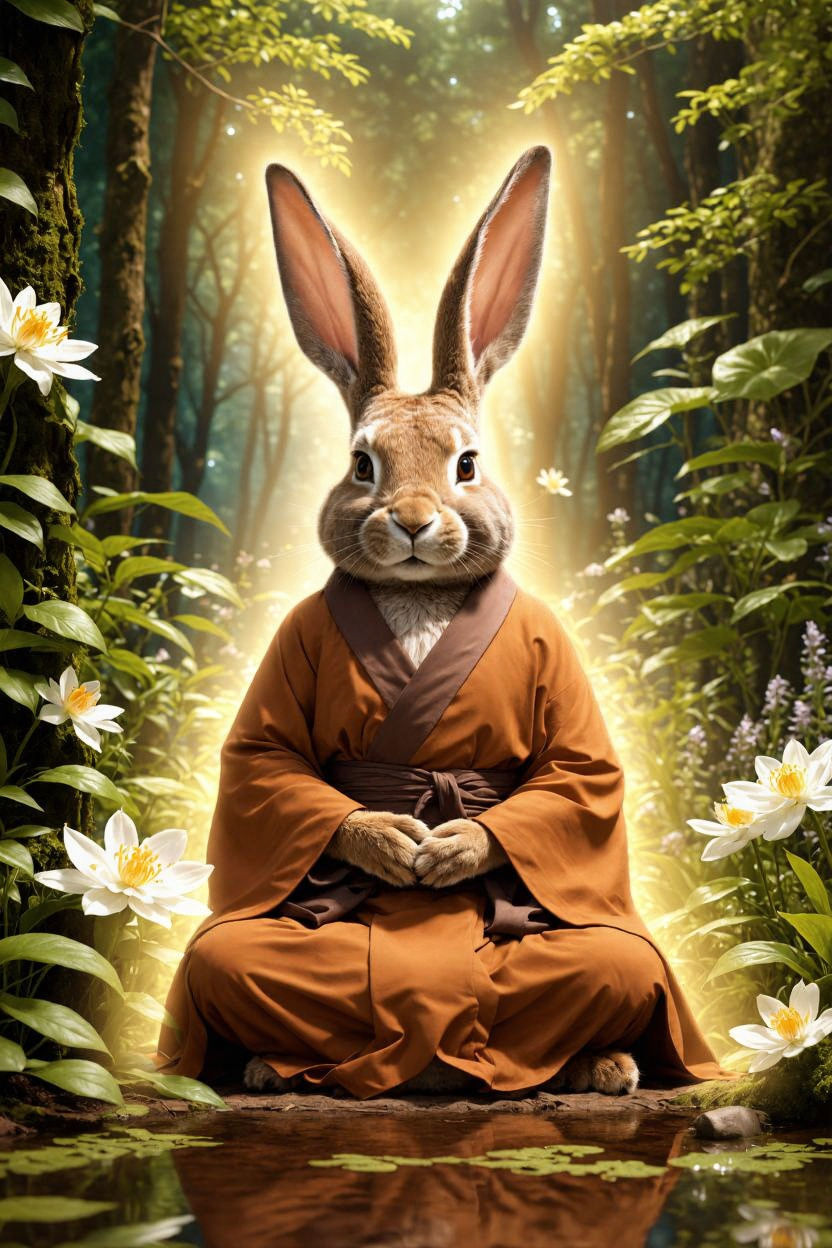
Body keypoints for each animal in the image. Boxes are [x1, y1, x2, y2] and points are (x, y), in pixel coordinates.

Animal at [242, 146, 639, 1099]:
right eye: (362, 465)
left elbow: (574, 779)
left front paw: (453, 846)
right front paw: (391, 839)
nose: (416, 522)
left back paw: (606, 1067)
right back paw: (273, 1070)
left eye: (467, 464)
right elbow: (271, 769)